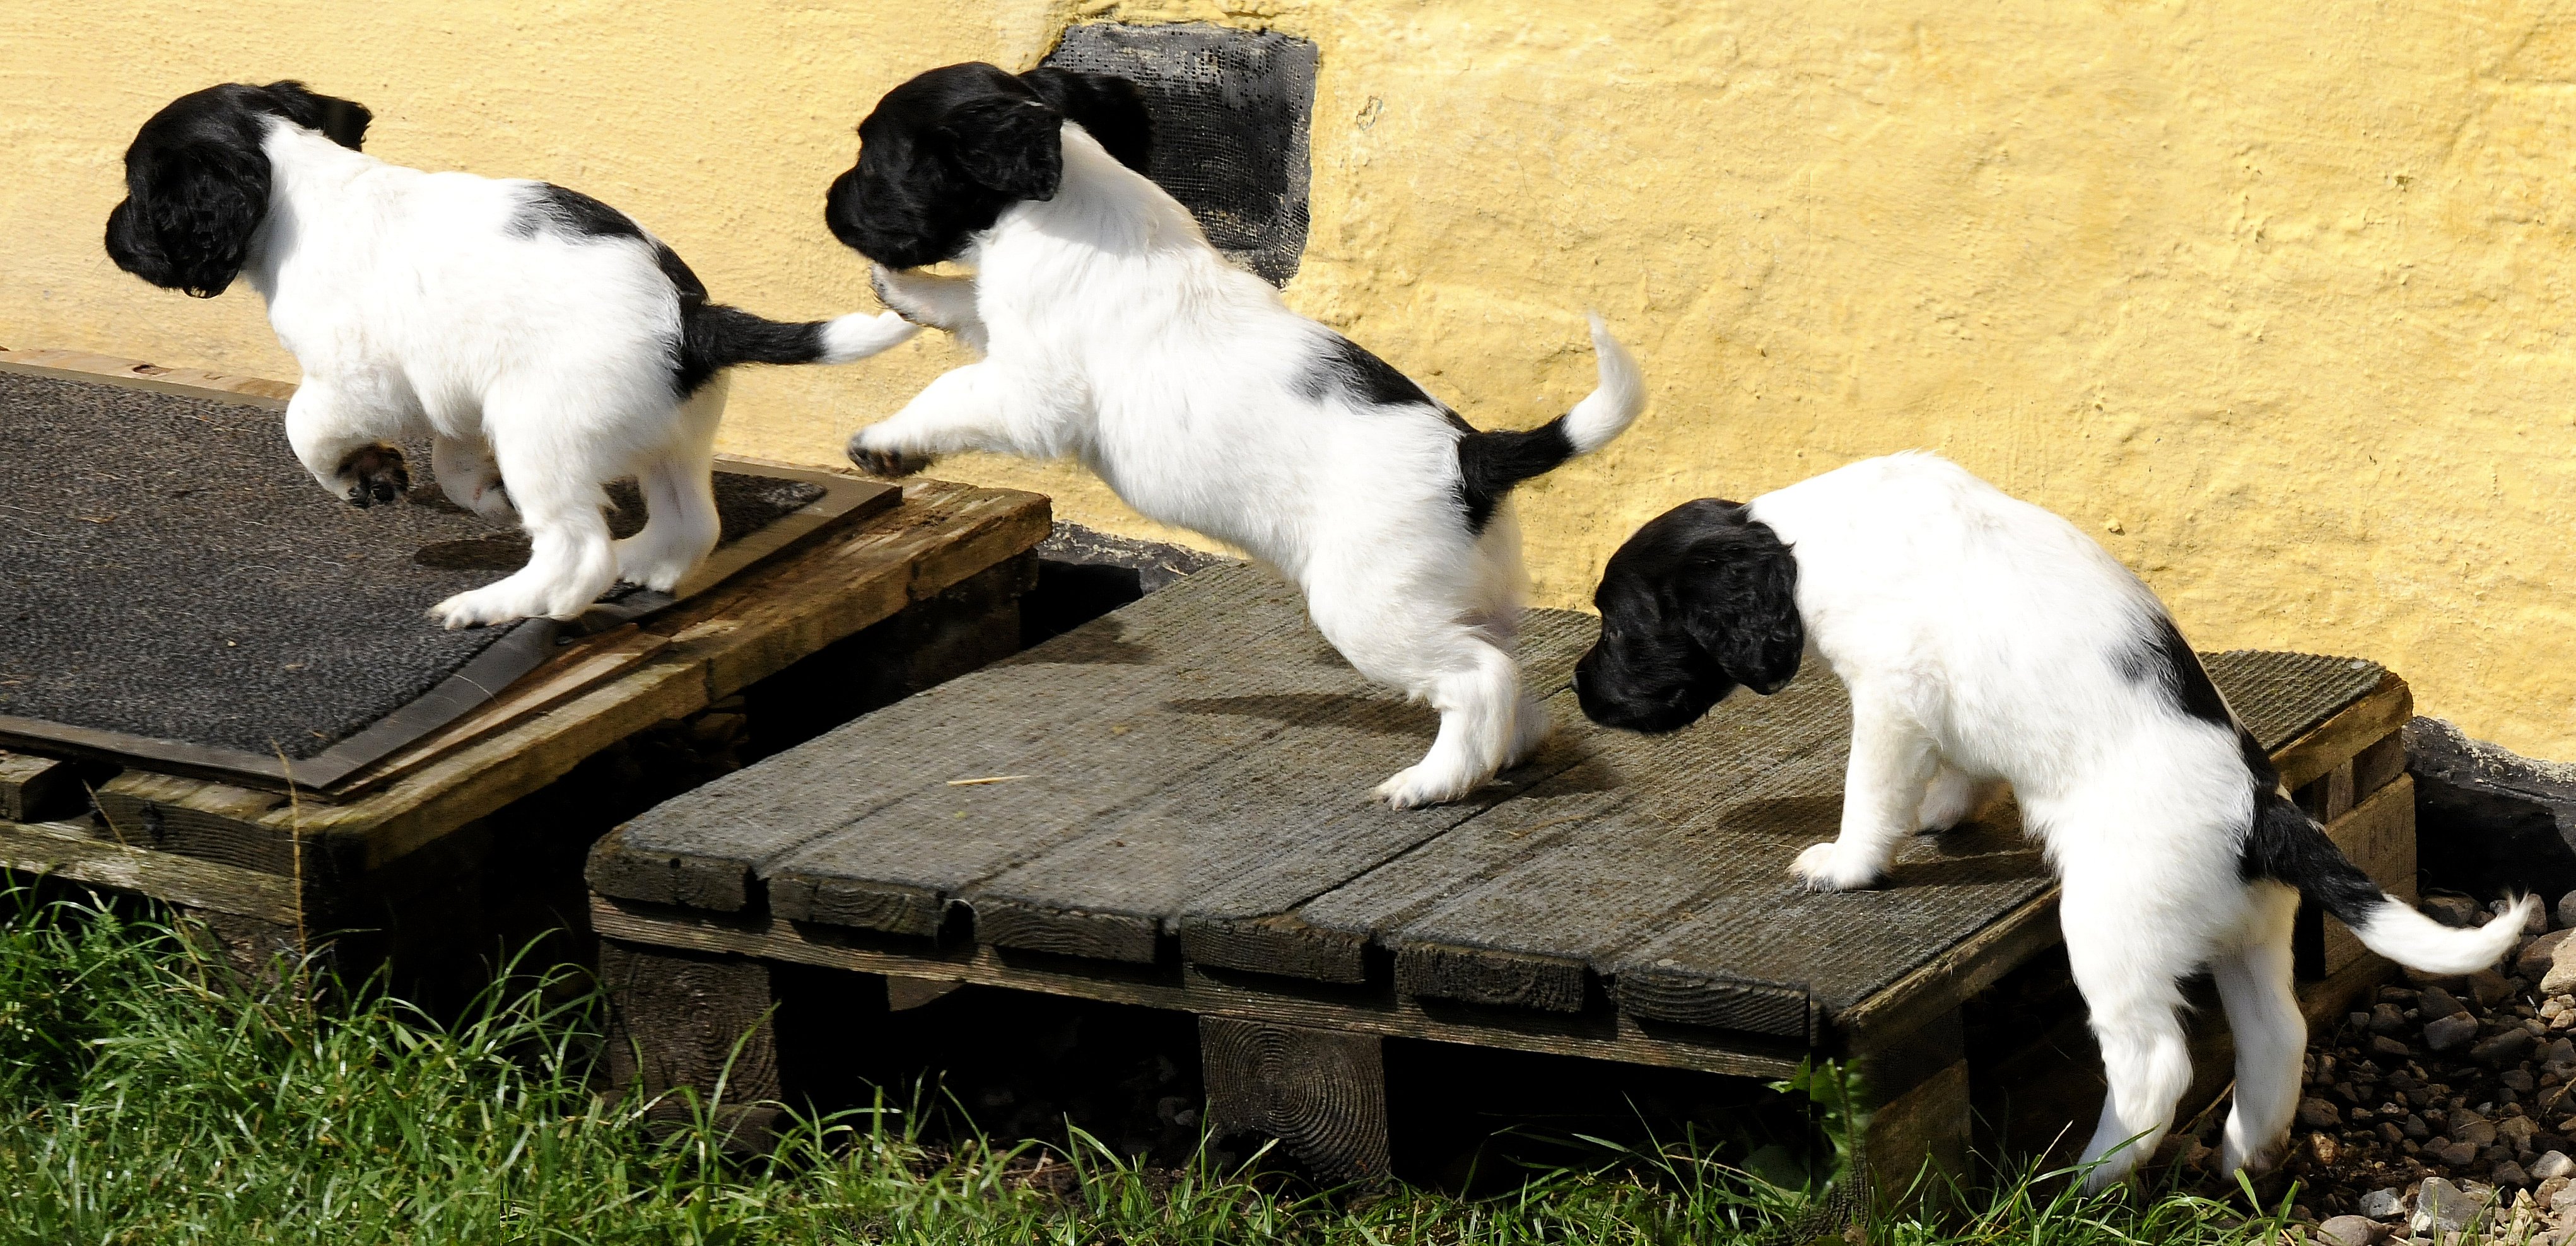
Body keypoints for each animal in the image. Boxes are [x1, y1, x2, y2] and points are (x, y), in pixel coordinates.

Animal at [105, 81, 922, 628]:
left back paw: (500, 603)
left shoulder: (356, 379)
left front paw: (359, 477)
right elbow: (453, 455)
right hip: (672, 435)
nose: (110, 239)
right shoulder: (457, 384)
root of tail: (691, 320)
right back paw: (638, 565)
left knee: (577, 550)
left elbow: (303, 425)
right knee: (689, 524)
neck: (300, 184)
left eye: (138, 189)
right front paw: (477, 495)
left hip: (544, 432)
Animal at [824, 66, 1638, 808]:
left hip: (1371, 608)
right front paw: (908, 292)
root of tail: (1475, 457)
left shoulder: (1032, 392)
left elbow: (948, 391)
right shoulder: (1007, 333)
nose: (828, 203)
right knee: (1510, 682)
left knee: (1478, 678)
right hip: (1470, 598)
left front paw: (886, 440)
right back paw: (1498, 753)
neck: (1070, 193)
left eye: (873, 155)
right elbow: (968, 302)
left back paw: (1432, 781)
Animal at [1576, 453, 2524, 1194]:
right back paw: (2247, 1157)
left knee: (2153, 1065)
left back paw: (2087, 1179)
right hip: (2248, 931)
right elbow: (1956, 768)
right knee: (2277, 1033)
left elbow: (1870, 794)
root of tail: (2260, 810)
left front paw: (1847, 863)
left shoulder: (1891, 695)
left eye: (1621, 626)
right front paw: (1942, 815)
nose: (1583, 693)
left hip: (2112, 927)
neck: (1804, 543)